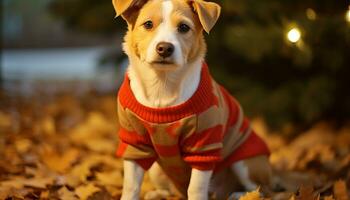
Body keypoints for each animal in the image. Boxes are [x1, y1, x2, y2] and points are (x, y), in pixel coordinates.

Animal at [112, 0, 274, 199]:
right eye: (148, 24)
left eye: (183, 27)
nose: (165, 48)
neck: (162, 86)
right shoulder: (134, 143)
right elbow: (131, 185)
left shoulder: (204, 146)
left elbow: (196, 187)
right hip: (157, 170)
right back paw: (159, 193)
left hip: (246, 162)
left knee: (262, 189)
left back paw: (240, 195)